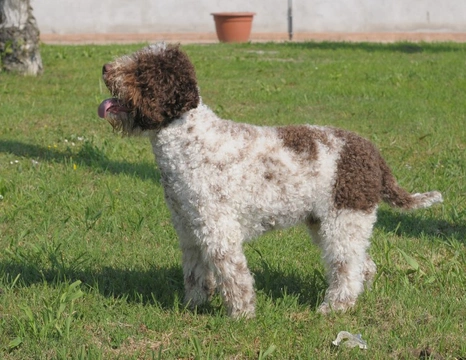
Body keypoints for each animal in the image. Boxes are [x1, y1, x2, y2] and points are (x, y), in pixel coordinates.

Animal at [97, 43, 440, 318]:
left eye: (141, 70)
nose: (104, 68)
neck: (188, 139)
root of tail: (374, 155)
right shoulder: (189, 229)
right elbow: (195, 273)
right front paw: (193, 306)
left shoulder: (219, 229)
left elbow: (233, 274)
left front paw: (241, 314)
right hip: (327, 223)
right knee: (363, 265)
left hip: (344, 219)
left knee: (347, 268)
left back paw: (335, 307)